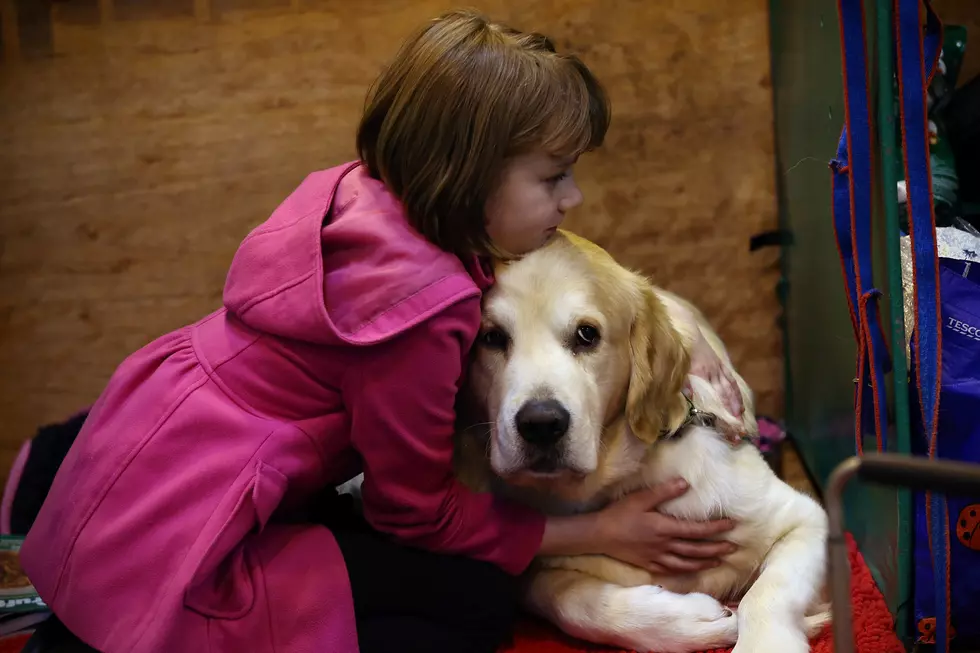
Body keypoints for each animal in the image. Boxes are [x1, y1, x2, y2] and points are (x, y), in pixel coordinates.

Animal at [452, 230, 828, 652]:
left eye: (587, 334)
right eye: (491, 337)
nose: (541, 424)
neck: (619, 478)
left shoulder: (803, 518)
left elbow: (767, 593)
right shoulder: (534, 568)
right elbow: (567, 600)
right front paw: (691, 621)